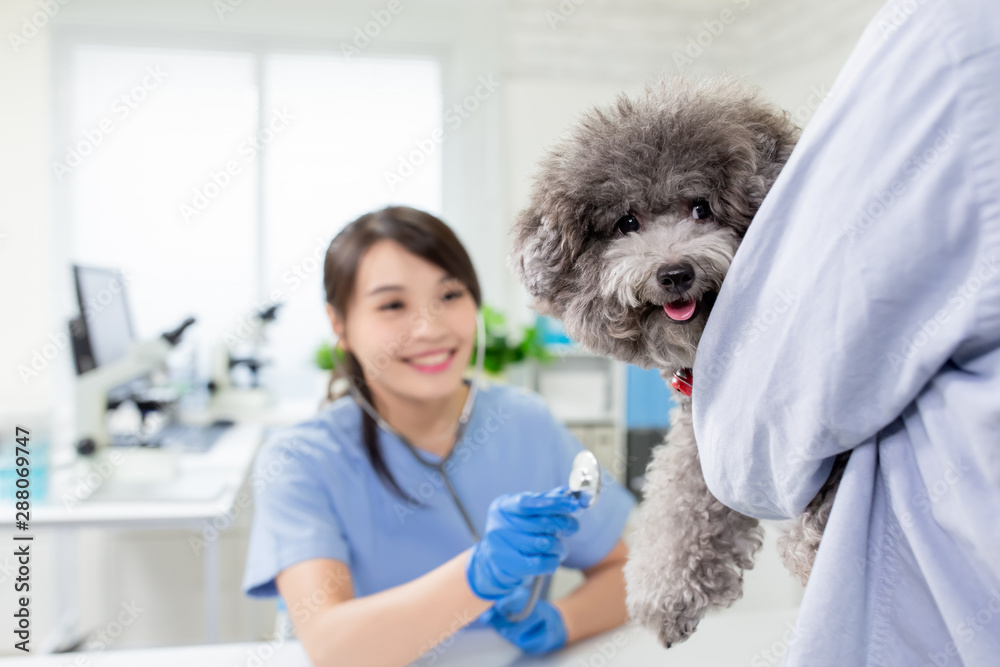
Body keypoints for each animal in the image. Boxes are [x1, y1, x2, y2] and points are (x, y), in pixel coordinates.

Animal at [508, 75, 844, 648]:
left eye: (702, 208)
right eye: (627, 222)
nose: (674, 273)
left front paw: (816, 543)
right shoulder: (701, 437)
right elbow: (682, 503)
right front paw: (665, 592)